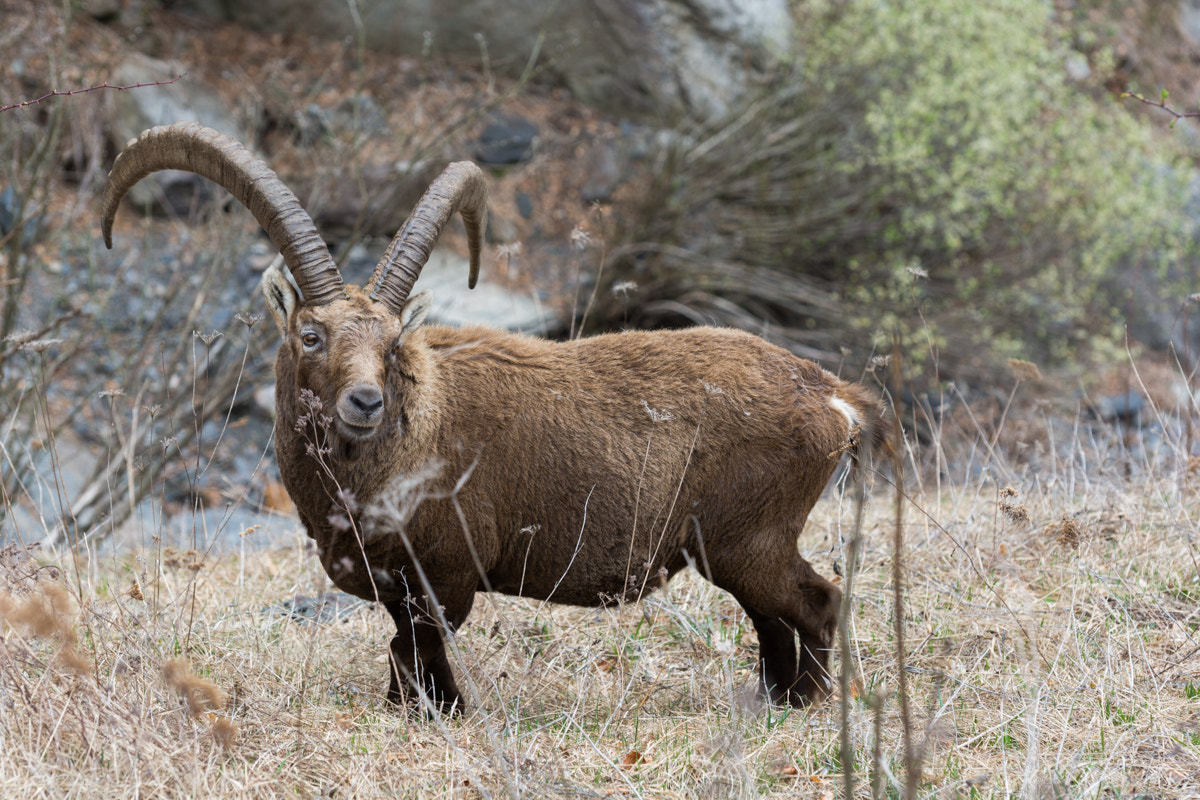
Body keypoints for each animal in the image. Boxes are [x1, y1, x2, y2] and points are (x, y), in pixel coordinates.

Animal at [101, 122, 890, 715]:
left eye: (394, 344)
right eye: (311, 335)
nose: (366, 402)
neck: (400, 445)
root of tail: (832, 397)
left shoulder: (446, 576)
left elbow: (418, 648)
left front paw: (438, 713)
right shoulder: (401, 586)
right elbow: (402, 647)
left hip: (749, 537)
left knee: (817, 601)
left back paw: (808, 702)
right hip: (736, 547)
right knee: (776, 618)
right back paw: (773, 700)